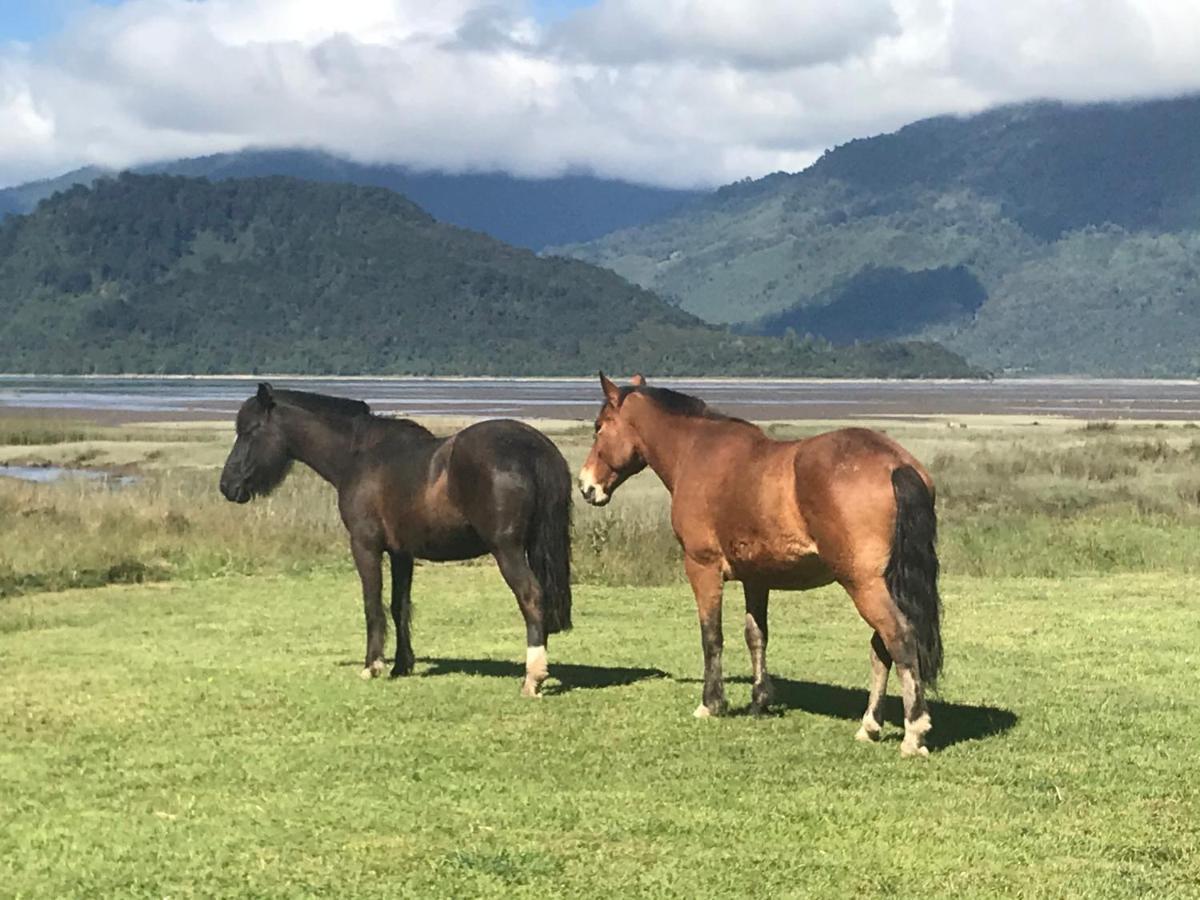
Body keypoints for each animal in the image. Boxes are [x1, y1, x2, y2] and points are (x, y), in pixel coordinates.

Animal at [222, 384, 576, 700]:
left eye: (250, 431)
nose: (227, 485)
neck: (359, 455)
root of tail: (531, 447)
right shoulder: (401, 553)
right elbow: (398, 605)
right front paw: (402, 665)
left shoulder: (365, 546)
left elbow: (372, 604)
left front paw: (373, 665)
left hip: (508, 550)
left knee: (531, 596)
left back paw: (533, 678)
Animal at [580, 376, 945, 758]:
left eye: (599, 427)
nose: (586, 486)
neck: (695, 451)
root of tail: (896, 464)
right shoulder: (757, 579)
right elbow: (756, 636)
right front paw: (760, 700)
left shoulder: (702, 568)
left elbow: (711, 636)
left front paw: (712, 703)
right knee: (881, 647)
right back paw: (870, 725)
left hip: (864, 584)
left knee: (899, 638)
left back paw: (913, 731)